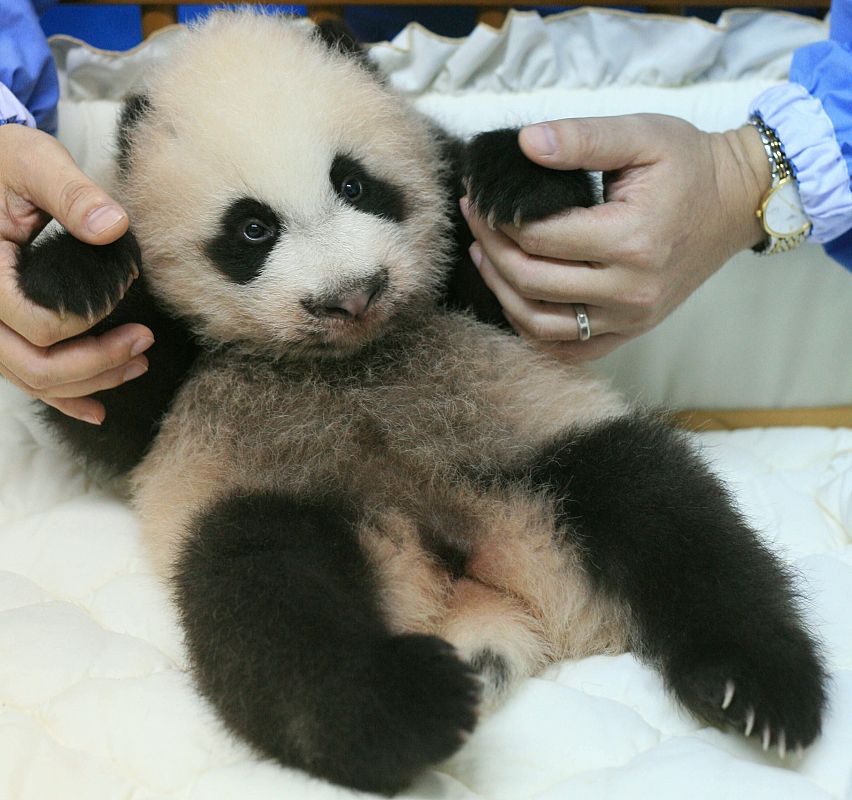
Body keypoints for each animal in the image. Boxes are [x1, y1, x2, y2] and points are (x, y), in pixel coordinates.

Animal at [14, 12, 826, 796]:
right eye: (252, 228)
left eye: (354, 184)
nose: (352, 295)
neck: (348, 355)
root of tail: (482, 588)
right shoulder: (177, 386)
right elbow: (113, 411)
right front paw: (76, 266)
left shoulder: (464, 287)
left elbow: (494, 259)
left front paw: (520, 175)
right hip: (269, 492)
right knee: (265, 597)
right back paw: (408, 706)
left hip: (534, 442)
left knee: (663, 512)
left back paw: (758, 688)